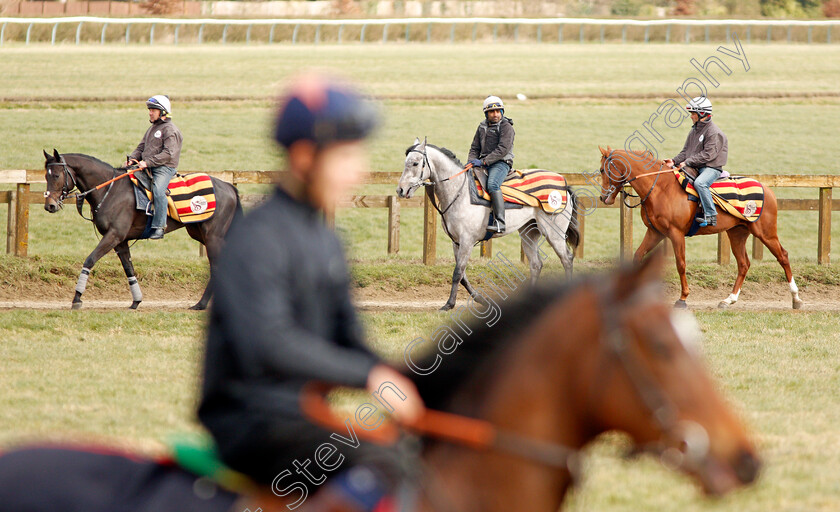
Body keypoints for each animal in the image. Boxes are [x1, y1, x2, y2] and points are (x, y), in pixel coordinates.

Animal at [42, 150, 241, 310]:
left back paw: (202, 304)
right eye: (46, 176)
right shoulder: (121, 241)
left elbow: (90, 260)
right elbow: (129, 269)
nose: (49, 205)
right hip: (201, 234)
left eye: (57, 176)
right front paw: (136, 301)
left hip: (213, 237)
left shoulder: (113, 236)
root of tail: (228, 187)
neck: (110, 189)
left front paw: (77, 298)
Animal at [398, 138, 580, 310]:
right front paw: (481, 299)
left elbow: (457, 273)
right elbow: (462, 276)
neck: (461, 193)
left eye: (415, 163)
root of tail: (564, 184)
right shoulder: (456, 243)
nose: (400, 190)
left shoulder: (467, 241)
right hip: (529, 234)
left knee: (566, 259)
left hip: (553, 234)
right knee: (536, 264)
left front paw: (449, 304)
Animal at [596, 146, 800, 310]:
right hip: (737, 233)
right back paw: (728, 300)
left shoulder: (676, 234)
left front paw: (683, 298)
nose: (603, 198)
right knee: (743, 264)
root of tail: (767, 189)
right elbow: (638, 256)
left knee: (783, 256)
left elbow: (680, 264)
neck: (661, 188)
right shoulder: (655, 233)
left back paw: (796, 298)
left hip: (766, 233)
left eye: (602, 169)